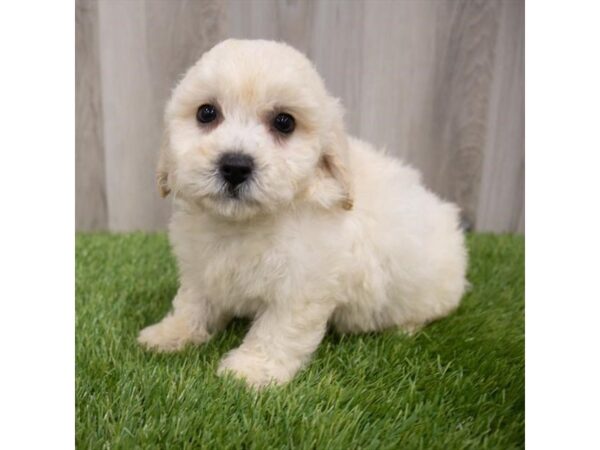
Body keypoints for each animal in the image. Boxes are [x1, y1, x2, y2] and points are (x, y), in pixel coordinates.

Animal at [139, 38, 468, 386]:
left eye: (285, 122)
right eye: (206, 113)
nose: (235, 166)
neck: (244, 223)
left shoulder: (303, 284)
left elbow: (278, 328)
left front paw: (251, 370)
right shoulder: (201, 268)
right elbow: (193, 303)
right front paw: (170, 333)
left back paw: (404, 328)